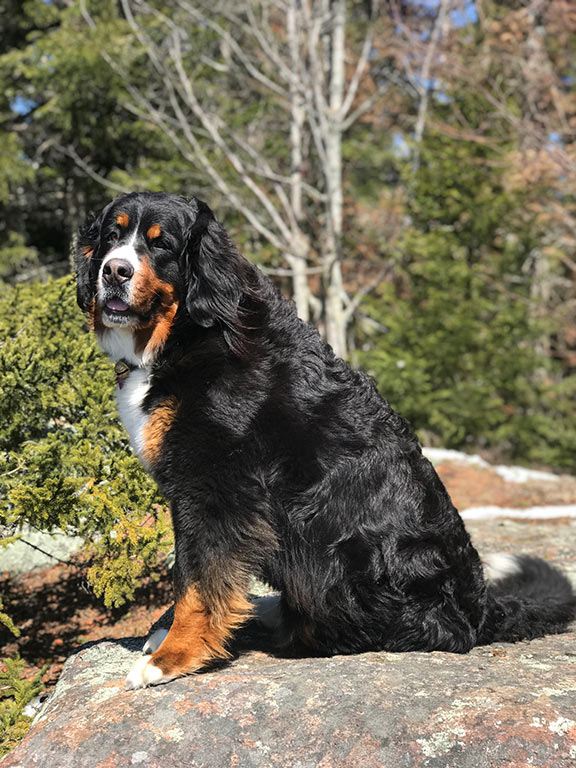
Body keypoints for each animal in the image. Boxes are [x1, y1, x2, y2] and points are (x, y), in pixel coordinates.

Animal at [75, 190, 576, 688]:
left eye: (161, 244)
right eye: (113, 236)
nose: (114, 271)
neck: (187, 332)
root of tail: (480, 606)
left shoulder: (216, 487)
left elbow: (200, 580)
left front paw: (175, 654)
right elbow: (192, 572)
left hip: (335, 558)